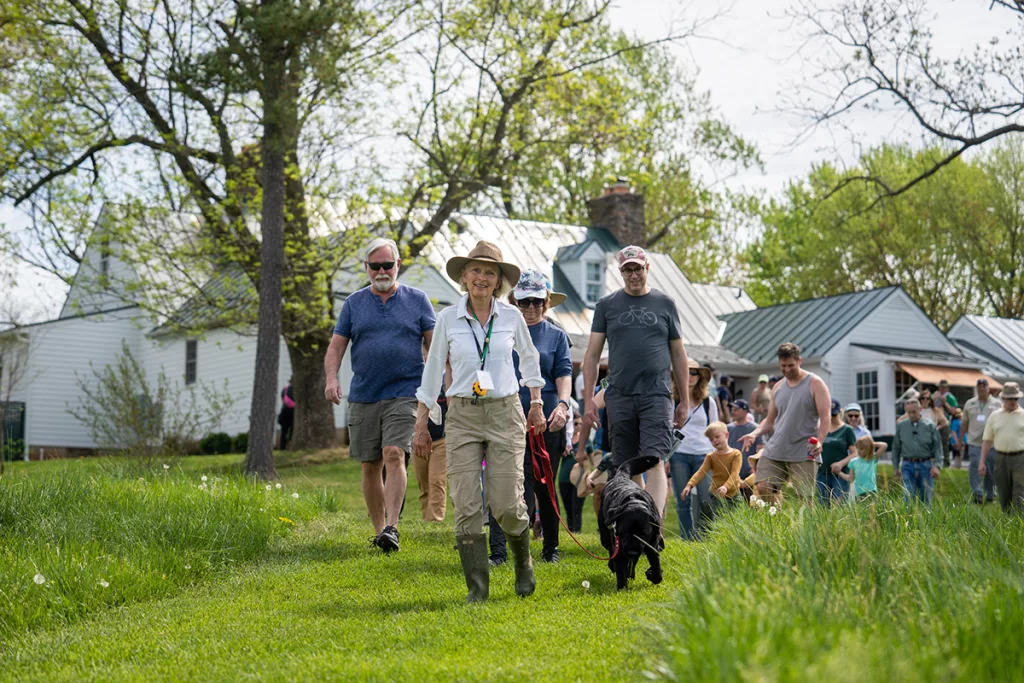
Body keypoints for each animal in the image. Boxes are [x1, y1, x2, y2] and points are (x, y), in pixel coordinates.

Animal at [598, 456, 667, 589]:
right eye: (625, 533)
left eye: (643, 534)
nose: (632, 552)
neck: (634, 501)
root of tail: (621, 476)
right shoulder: (620, 546)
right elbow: (621, 570)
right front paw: (622, 588)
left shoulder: (651, 544)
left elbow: (657, 569)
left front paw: (652, 574)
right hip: (606, 535)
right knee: (609, 548)